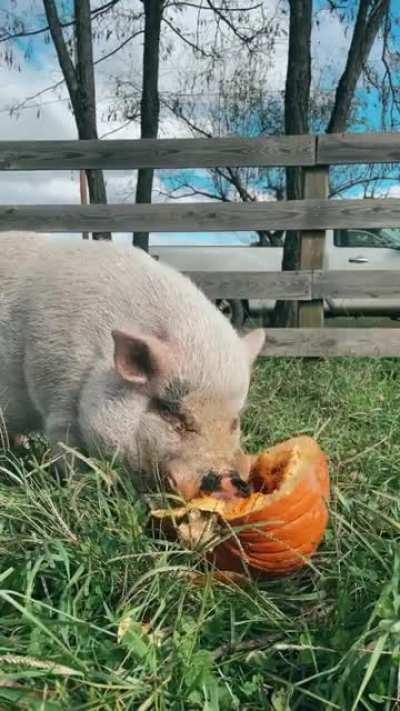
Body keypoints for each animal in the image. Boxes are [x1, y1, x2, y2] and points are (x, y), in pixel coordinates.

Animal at [0, 233, 265, 500]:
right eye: (170, 412)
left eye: (234, 422)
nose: (231, 482)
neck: (98, 363)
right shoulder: (58, 398)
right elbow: (69, 455)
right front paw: (80, 492)